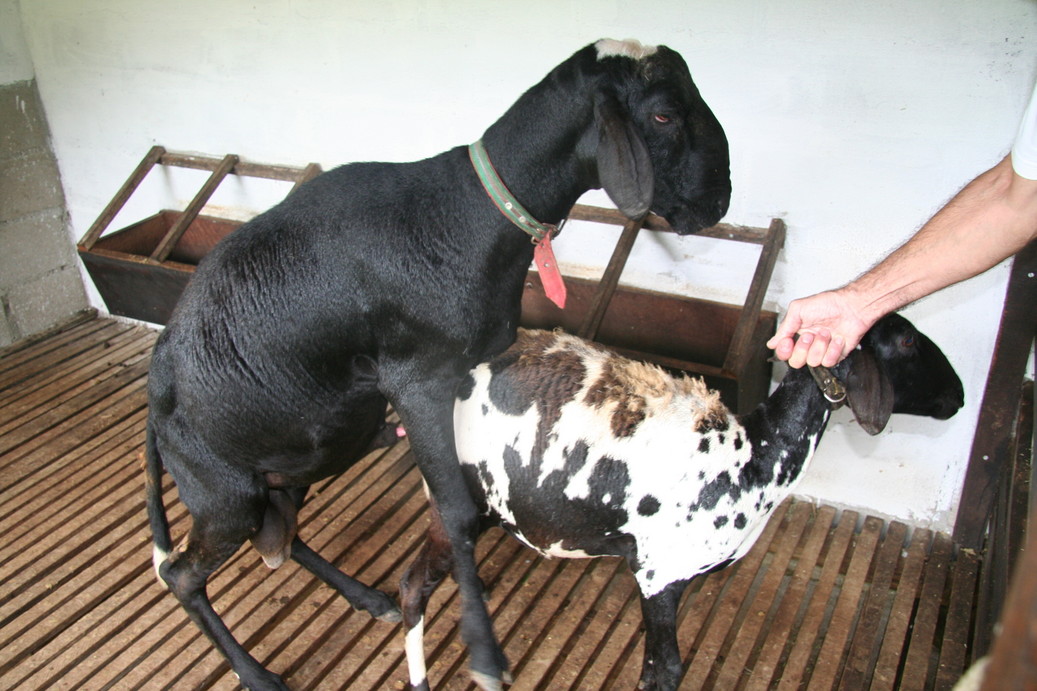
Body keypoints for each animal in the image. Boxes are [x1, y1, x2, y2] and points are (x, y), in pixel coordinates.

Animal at [145, 39, 731, 691]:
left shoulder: (476, 366)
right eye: (663, 115)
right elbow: (454, 511)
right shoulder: (418, 379)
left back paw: (366, 598)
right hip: (223, 491)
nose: (718, 200)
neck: (470, 214)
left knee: (283, 532)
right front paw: (483, 649)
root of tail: (159, 377)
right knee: (182, 573)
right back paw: (258, 674)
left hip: (306, 452)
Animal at [399, 313, 964, 690]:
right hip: (454, 496)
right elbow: (664, 672)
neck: (754, 456)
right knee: (413, 585)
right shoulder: (659, 576)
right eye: (907, 340)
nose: (958, 396)